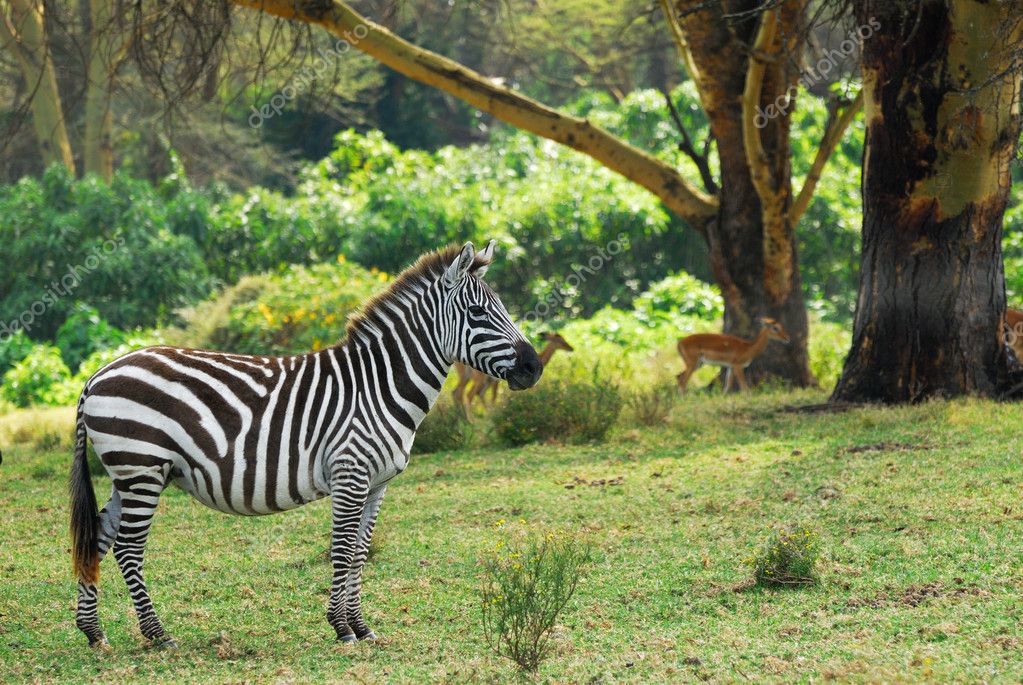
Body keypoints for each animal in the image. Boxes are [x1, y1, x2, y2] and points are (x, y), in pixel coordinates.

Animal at [70, 241, 544, 650]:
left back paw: (94, 633)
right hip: (142, 467)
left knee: (101, 538)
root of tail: (98, 373)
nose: (534, 367)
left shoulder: (377, 484)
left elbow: (360, 553)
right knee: (130, 548)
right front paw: (341, 627)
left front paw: (362, 626)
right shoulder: (350, 474)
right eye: (479, 312)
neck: (378, 385)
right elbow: (341, 549)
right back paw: (158, 635)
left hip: (129, 474)